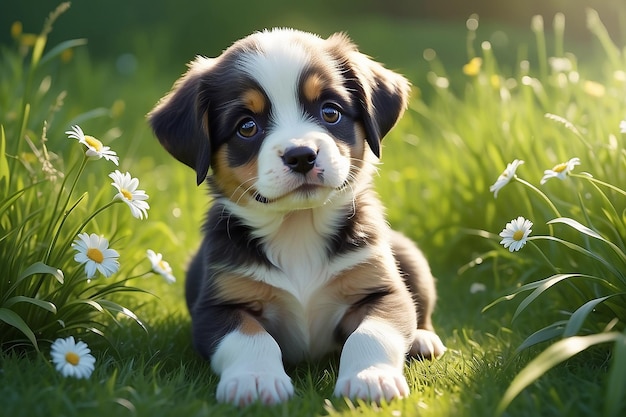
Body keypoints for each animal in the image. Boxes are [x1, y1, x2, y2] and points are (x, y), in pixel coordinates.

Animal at [149, 27, 444, 404]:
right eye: (247, 126)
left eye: (330, 112)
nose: (301, 155)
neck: (297, 228)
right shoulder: (218, 305)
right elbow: (248, 338)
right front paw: (256, 379)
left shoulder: (381, 289)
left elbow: (371, 333)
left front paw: (369, 378)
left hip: (409, 253)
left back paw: (422, 338)